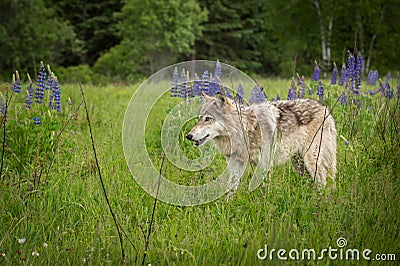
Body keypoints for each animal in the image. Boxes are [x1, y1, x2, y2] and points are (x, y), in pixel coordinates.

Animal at [186, 92, 336, 196]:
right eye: (200, 118)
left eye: (208, 119)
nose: (188, 136)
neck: (246, 128)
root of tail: (324, 108)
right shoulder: (236, 163)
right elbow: (231, 188)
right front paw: (227, 208)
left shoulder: (264, 164)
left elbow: (263, 188)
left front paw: (263, 206)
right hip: (299, 164)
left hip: (311, 161)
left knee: (322, 181)